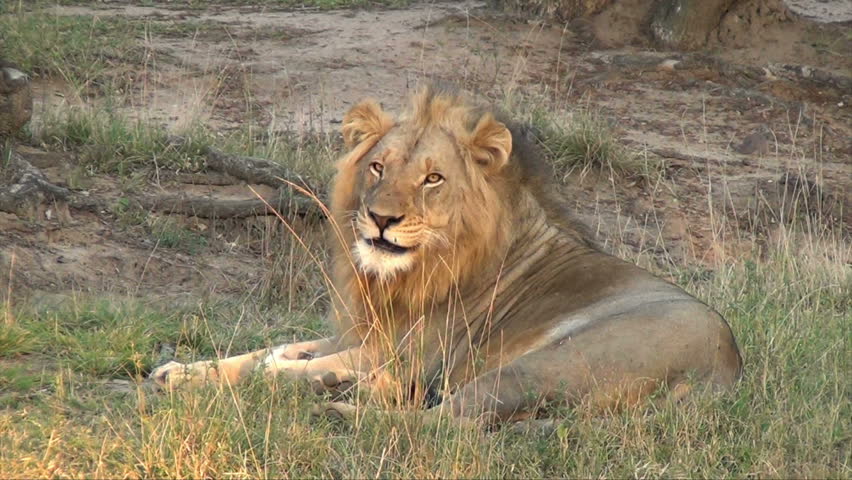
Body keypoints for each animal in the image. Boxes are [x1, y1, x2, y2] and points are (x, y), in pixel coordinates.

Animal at [151, 86, 742, 425]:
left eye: (432, 179)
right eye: (378, 167)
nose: (381, 219)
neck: (402, 277)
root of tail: (727, 373)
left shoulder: (408, 353)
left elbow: (271, 371)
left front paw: (204, 380)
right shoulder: (363, 335)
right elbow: (268, 351)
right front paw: (180, 369)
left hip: (541, 365)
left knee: (444, 425)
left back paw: (343, 406)